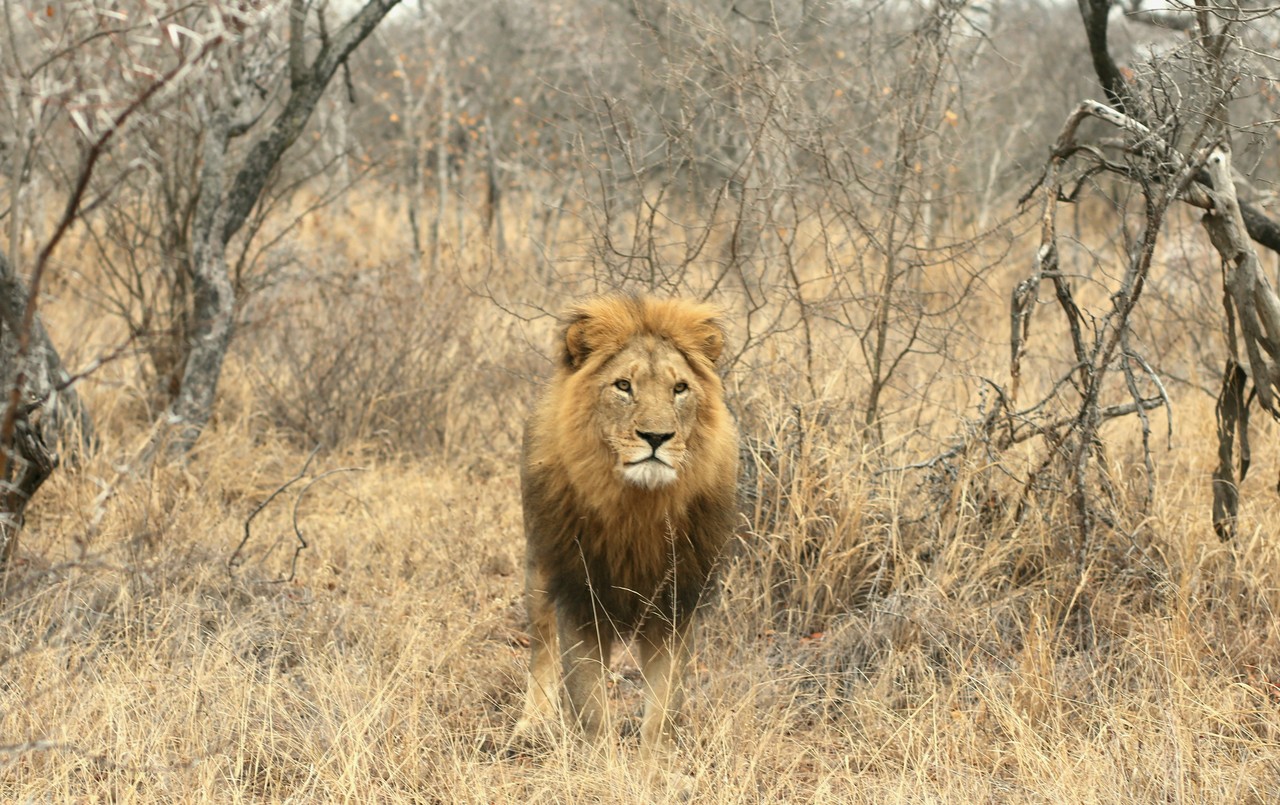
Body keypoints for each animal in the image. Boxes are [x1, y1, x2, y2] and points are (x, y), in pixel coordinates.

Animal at [514, 295, 739, 755]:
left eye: (679, 389)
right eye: (623, 386)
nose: (656, 437)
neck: (639, 508)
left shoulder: (675, 604)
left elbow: (662, 709)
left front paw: (656, 765)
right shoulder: (580, 598)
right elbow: (590, 705)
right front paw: (602, 764)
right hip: (538, 564)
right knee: (542, 643)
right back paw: (532, 724)